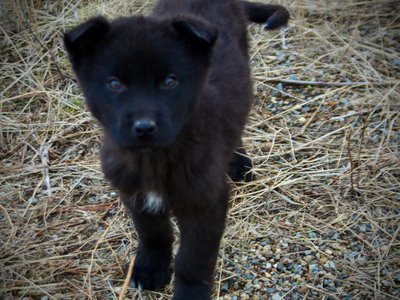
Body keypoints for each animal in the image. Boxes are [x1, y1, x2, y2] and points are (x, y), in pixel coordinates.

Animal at [63, 1, 288, 298]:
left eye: (170, 82)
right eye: (114, 84)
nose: (144, 127)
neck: (154, 159)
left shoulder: (205, 203)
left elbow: (193, 259)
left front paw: (189, 293)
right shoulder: (135, 194)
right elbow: (153, 233)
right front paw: (150, 268)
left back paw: (239, 163)